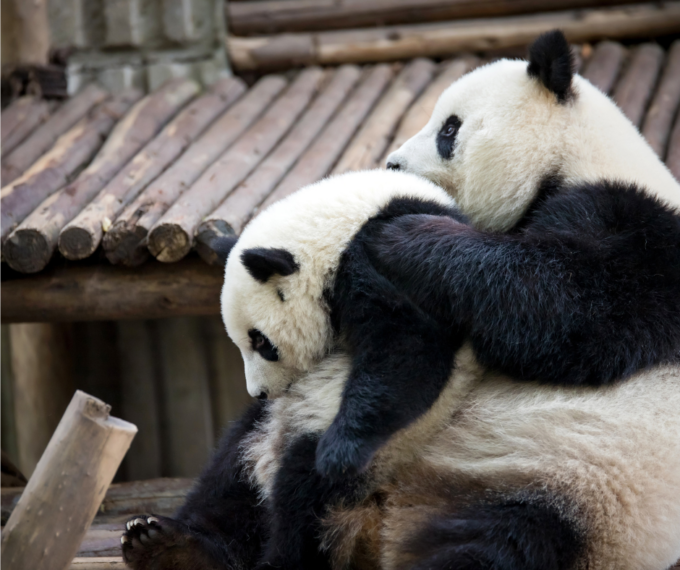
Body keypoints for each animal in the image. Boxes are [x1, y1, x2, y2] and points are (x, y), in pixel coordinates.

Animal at [121, 31, 680, 570]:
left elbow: (568, 310)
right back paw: (174, 546)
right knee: (239, 463)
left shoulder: (638, 230)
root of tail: (387, 526)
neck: (577, 158)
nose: (392, 162)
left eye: (449, 129)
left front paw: (404, 235)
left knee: (501, 545)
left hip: (575, 490)